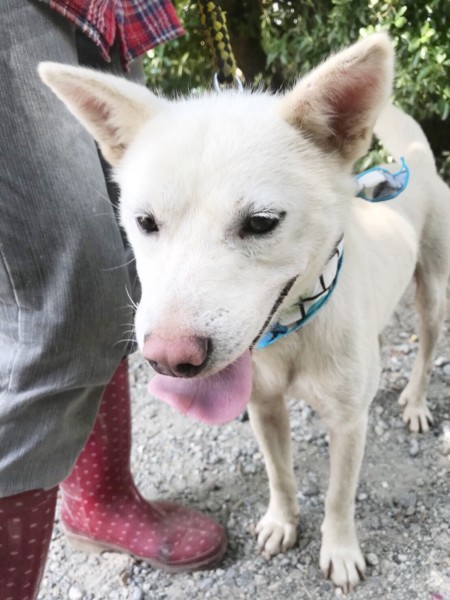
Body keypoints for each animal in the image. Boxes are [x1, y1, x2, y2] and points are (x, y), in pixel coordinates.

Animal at [39, 34, 450, 591]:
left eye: (261, 222)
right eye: (145, 222)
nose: (170, 360)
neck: (293, 332)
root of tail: (413, 156)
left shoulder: (348, 426)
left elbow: (339, 497)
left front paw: (340, 551)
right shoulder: (264, 407)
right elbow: (280, 475)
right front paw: (281, 522)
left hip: (432, 293)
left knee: (426, 351)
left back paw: (415, 401)